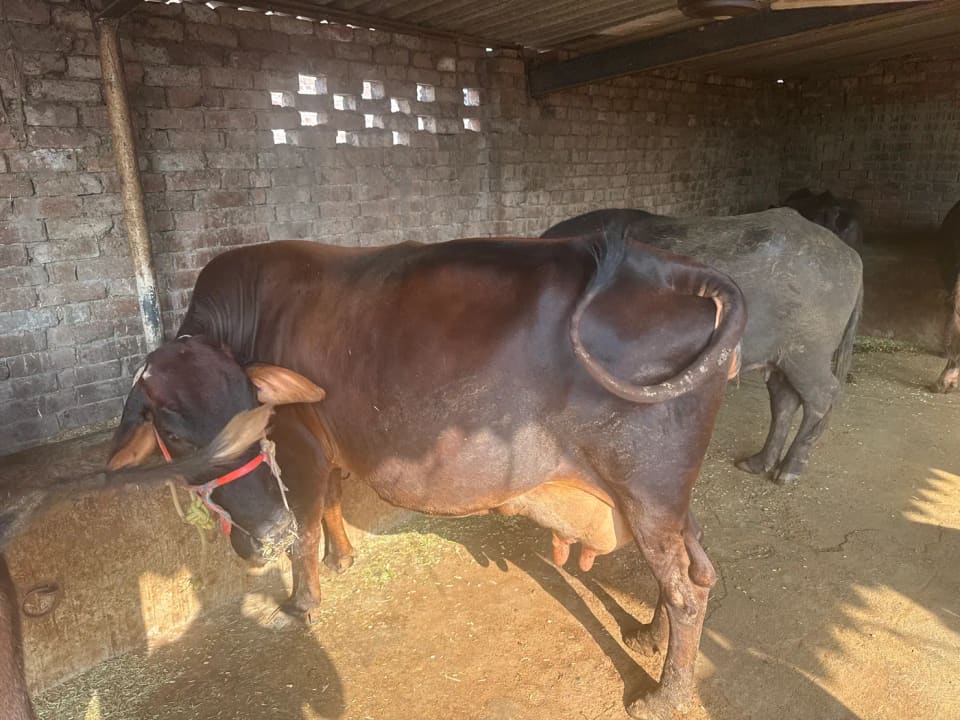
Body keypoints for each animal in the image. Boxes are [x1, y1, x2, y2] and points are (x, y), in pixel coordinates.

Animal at [108, 224, 746, 720]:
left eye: (253, 409)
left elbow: (307, 522)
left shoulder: (298, 441)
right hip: (664, 495)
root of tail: (674, 267)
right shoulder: (327, 443)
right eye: (175, 432)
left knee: (686, 589)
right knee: (695, 559)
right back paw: (648, 634)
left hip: (646, 485)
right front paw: (344, 558)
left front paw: (302, 600)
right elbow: (332, 502)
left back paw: (664, 695)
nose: (266, 536)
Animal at [543, 209, 863, 485]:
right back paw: (759, 463)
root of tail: (851, 257)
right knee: (784, 400)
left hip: (807, 354)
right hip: (782, 357)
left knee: (822, 396)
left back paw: (789, 470)